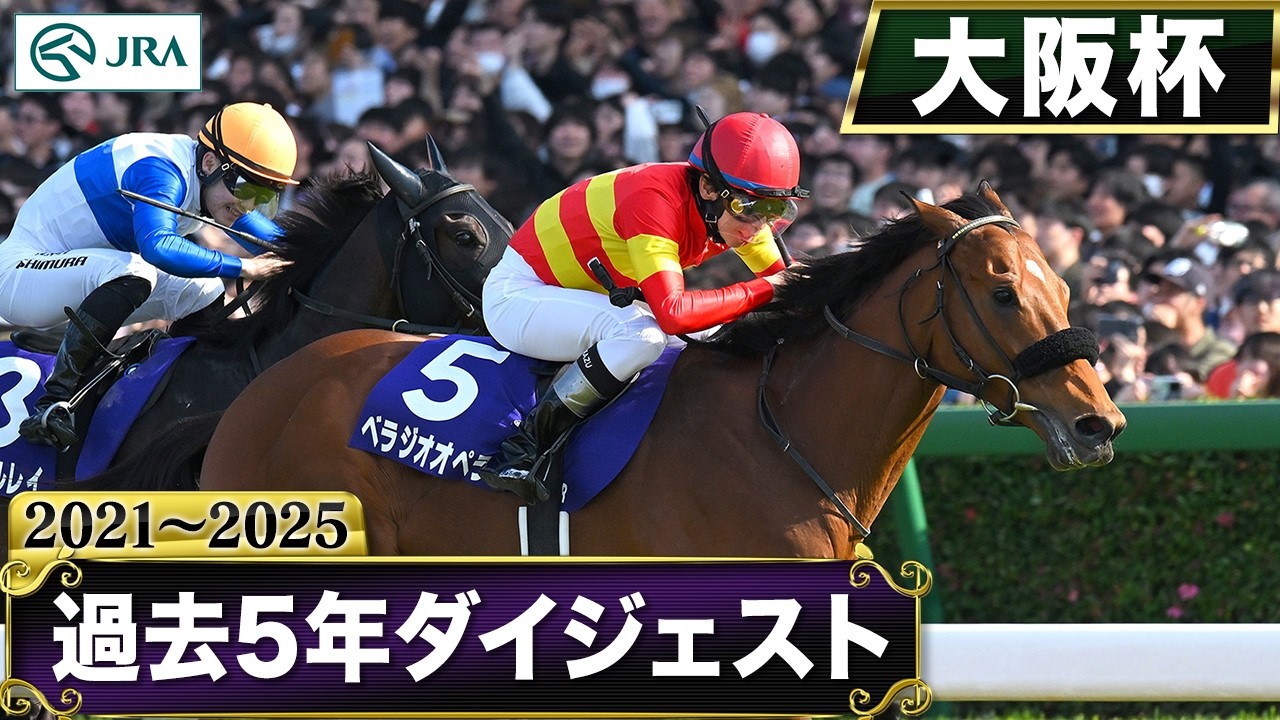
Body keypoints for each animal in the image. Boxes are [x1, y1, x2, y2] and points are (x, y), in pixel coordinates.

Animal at [195, 184, 1126, 558]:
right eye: (1003, 293)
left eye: (1063, 285)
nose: (1099, 423)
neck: (780, 443)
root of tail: (263, 391)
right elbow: (660, 307)